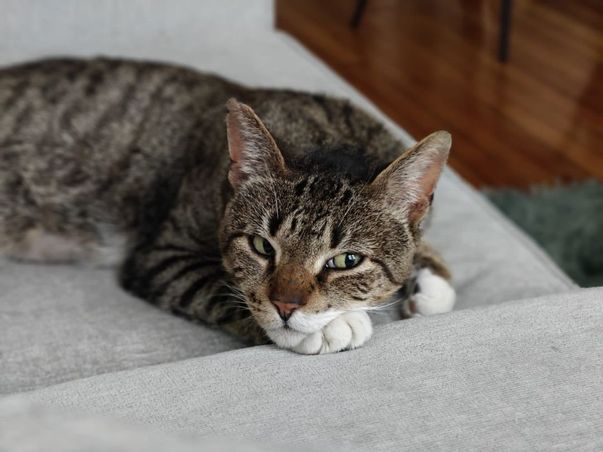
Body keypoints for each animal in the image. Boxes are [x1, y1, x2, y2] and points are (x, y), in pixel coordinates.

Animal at [0, 57, 452, 354]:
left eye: (347, 261)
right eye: (262, 247)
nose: (286, 305)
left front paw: (430, 283)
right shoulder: (162, 255)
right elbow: (217, 283)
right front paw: (332, 326)